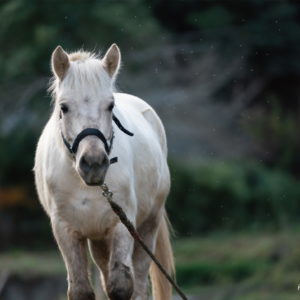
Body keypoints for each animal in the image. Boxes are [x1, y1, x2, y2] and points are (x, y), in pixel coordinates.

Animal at [33, 44, 173, 300]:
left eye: (110, 106)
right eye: (64, 107)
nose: (94, 163)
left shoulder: (122, 224)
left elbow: (121, 286)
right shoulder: (65, 229)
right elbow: (81, 289)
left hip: (148, 225)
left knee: (139, 281)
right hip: (98, 240)